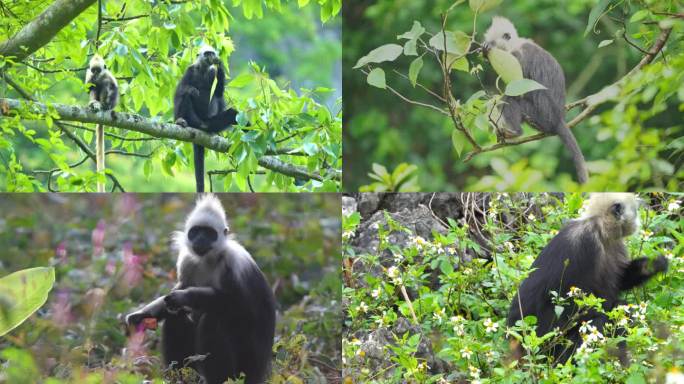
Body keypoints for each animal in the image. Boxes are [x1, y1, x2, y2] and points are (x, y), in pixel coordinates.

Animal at [84, 54, 119, 192]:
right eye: (93, 70)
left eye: (98, 70)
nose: (95, 74)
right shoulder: (88, 74)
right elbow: (89, 87)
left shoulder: (107, 74)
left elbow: (113, 86)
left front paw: (109, 104)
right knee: (95, 88)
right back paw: (95, 104)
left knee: (106, 85)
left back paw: (104, 105)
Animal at [127, 195, 276, 384]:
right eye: (196, 231)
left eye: (209, 233)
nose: (200, 239)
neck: (208, 260)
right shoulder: (187, 261)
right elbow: (172, 297)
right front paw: (141, 315)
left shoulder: (233, 264)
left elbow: (240, 307)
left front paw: (185, 296)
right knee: (176, 316)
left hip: (246, 365)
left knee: (213, 318)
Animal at [174, 45, 240, 192]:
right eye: (207, 53)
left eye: (212, 53)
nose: (212, 56)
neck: (203, 70)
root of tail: (203, 124)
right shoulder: (190, 70)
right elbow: (181, 92)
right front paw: (190, 90)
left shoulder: (211, 72)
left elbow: (218, 92)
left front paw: (220, 67)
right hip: (195, 119)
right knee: (187, 96)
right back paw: (182, 121)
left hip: (213, 122)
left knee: (232, 113)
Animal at [480, 17, 588, 184]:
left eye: (493, 42)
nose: (485, 48)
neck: (515, 45)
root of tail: (558, 119)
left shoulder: (519, 55)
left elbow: (517, 86)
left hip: (541, 114)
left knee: (510, 98)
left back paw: (515, 132)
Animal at [508, 194, 668, 364]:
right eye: (636, 211)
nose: (638, 220)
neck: (599, 227)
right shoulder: (588, 243)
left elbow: (621, 281)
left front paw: (653, 264)